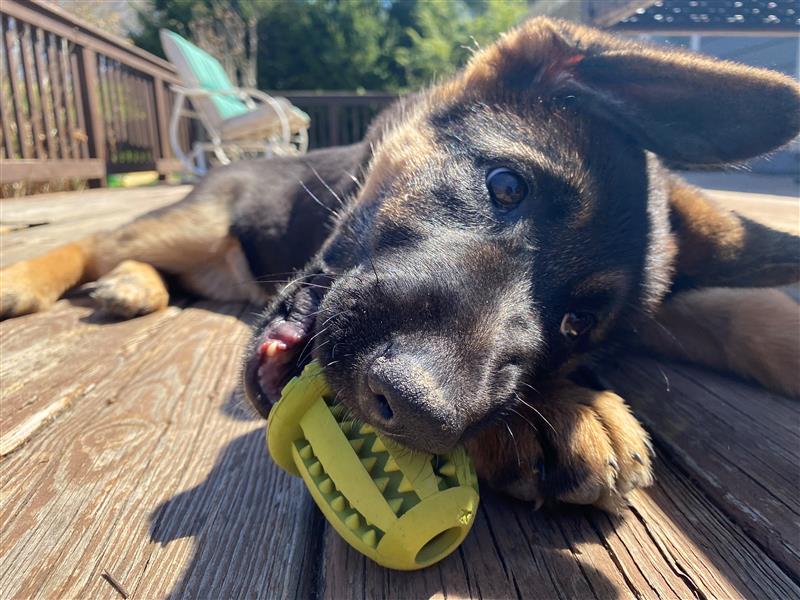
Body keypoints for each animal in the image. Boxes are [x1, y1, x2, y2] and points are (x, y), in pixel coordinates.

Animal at [4, 18, 800, 510]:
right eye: (505, 185)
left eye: (577, 324)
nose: (417, 409)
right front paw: (567, 414)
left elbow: (746, 310)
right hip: (193, 223)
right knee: (96, 241)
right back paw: (35, 279)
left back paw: (133, 289)